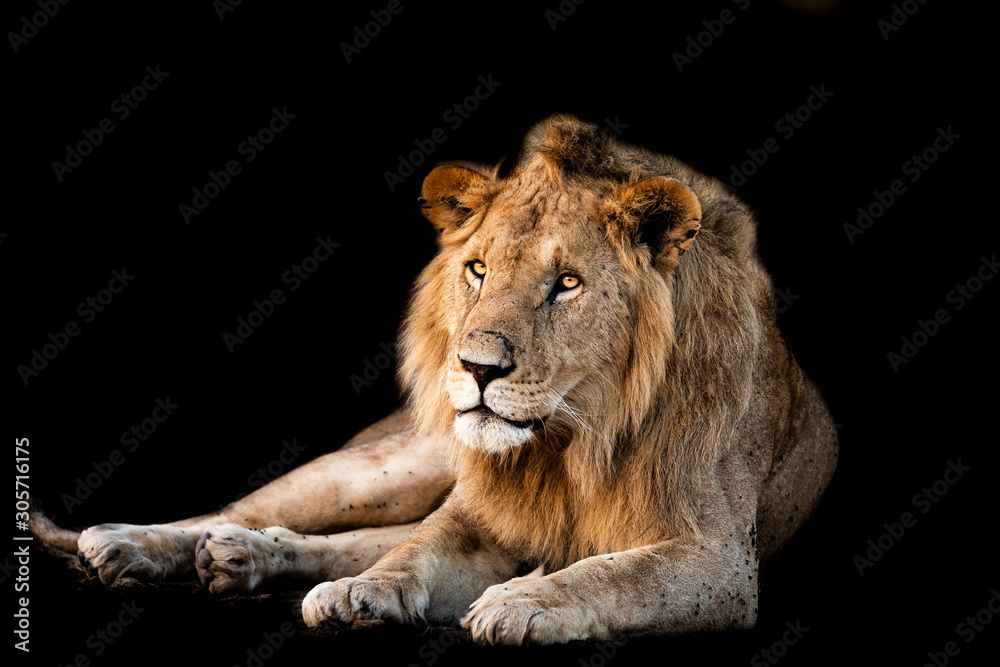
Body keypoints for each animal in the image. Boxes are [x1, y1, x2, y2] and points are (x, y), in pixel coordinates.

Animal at [33, 114, 838, 645]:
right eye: (478, 268)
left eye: (567, 284)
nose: (478, 368)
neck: (571, 440)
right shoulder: (479, 517)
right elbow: (414, 551)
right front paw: (369, 591)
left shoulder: (720, 557)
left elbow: (612, 573)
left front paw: (521, 601)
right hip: (384, 465)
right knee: (256, 509)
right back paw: (129, 544)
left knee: (338, 533)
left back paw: (242, 557)